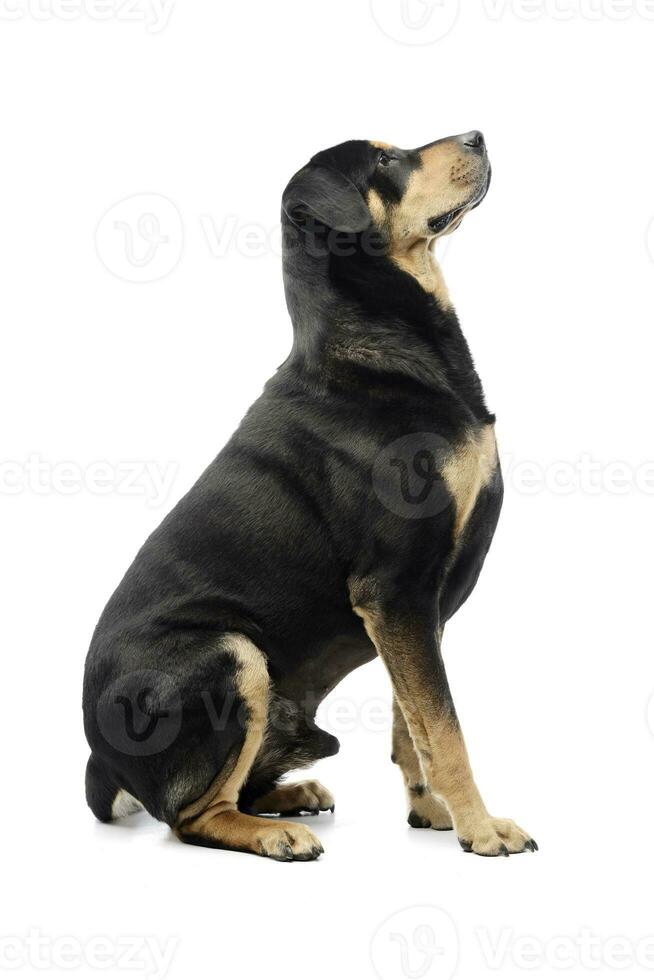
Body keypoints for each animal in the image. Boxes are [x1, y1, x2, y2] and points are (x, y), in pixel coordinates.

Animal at [83, 130, 540, 856]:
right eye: (383, 160)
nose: (478, 135)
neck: (377, 351)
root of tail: (100, 762)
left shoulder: (416, 609)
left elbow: (411, 722)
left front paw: (432, 814)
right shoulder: (396, 590)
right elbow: (444, 728)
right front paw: (481, 828)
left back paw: (288, 797)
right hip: (233, 654)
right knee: (190, 816)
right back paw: (274, 835)